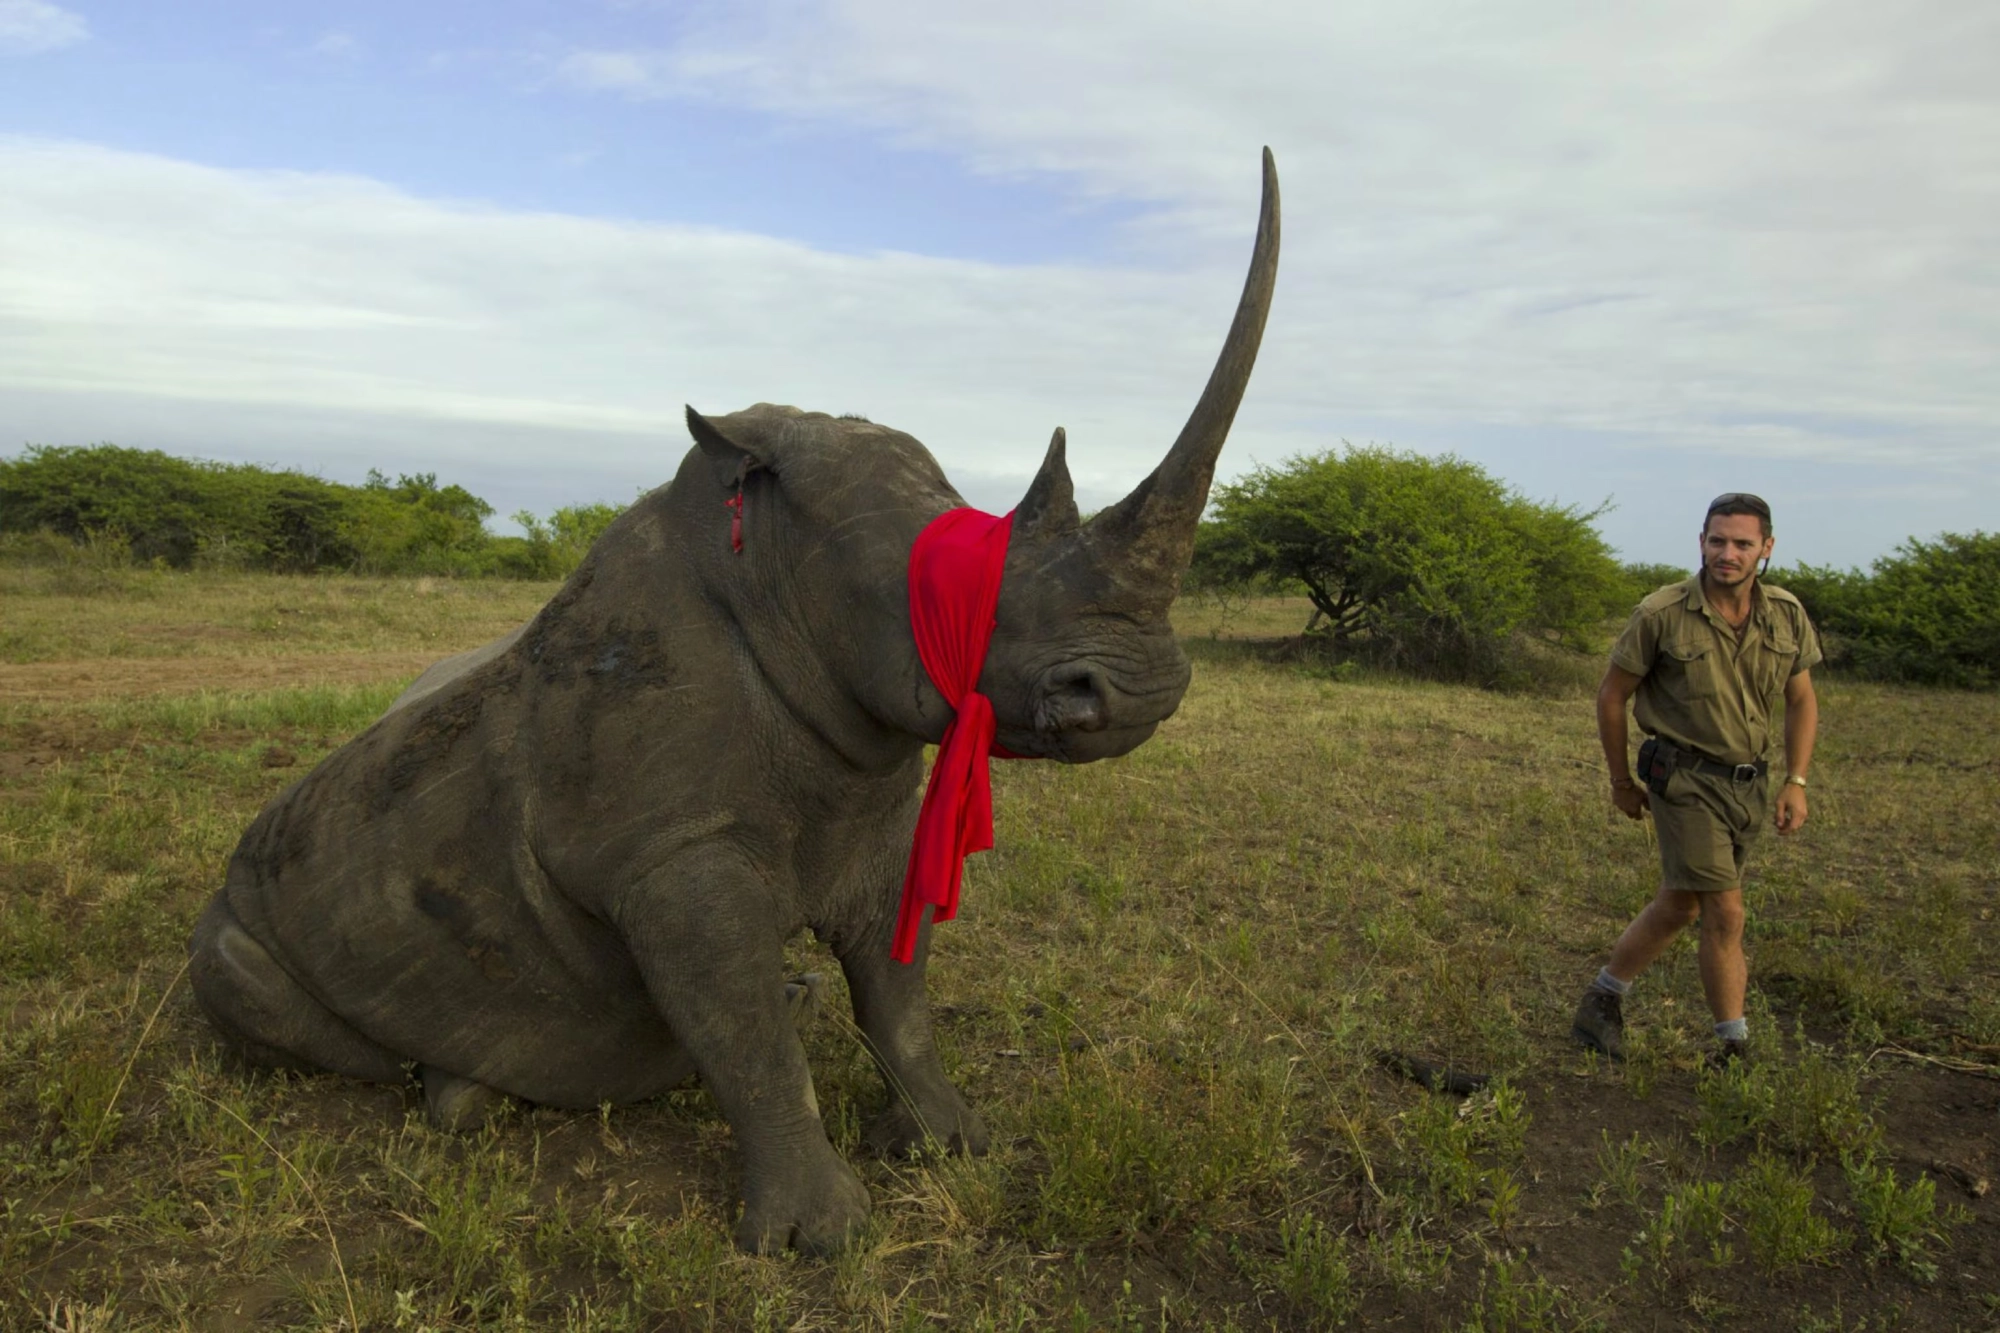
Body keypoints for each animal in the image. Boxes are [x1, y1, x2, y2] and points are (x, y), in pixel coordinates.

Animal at [189, 150, 1279, 1255]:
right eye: (944, 588)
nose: (1142, 690)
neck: (770, 575)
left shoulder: (871, 797)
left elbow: (896, 990)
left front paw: (946, 1144)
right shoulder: (667, 850)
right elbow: (745, 1027)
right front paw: (816, 1239)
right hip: (245, 913)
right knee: (257, 986)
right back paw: (453, 1094)